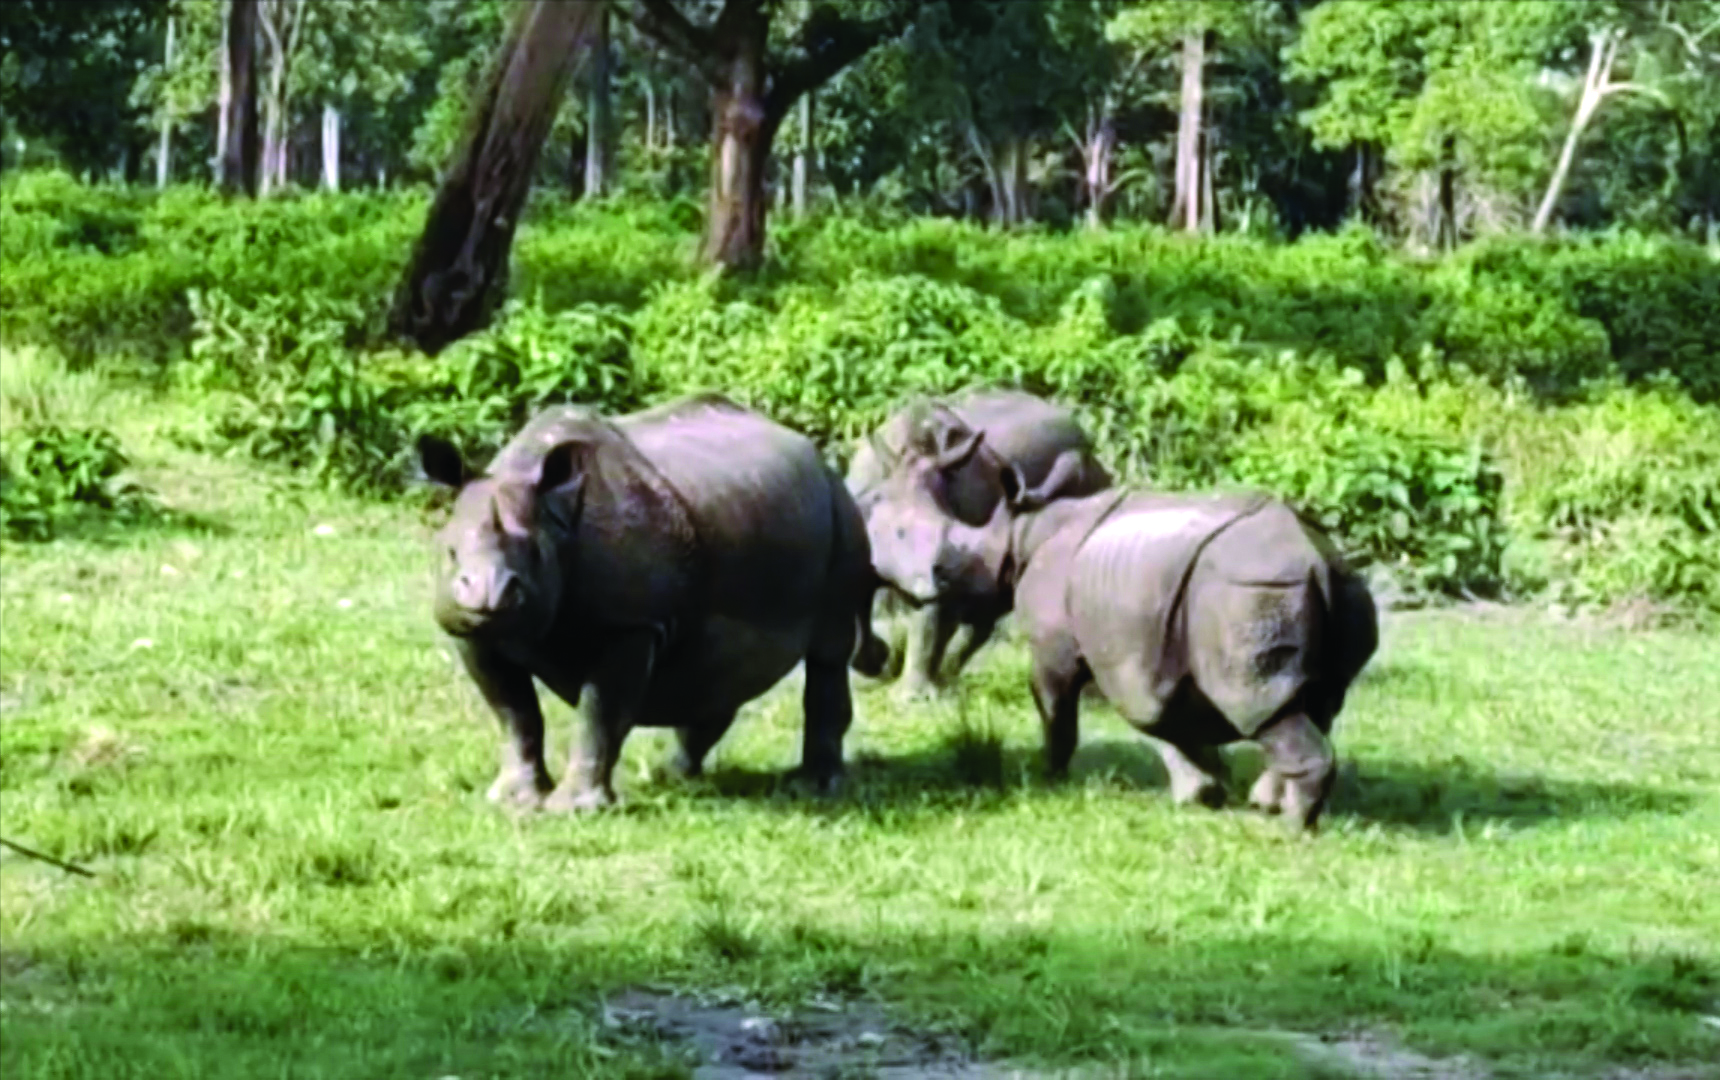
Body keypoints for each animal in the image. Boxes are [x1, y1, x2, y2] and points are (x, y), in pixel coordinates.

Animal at [417, 395, 888, 812]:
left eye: (535, 553)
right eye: (449, 552)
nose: (487, 595)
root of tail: (815, 456)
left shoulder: (630, 624)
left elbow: (598, 713)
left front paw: (574, 809)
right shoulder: (471, 634)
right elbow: (515, 715)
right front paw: (514, 800)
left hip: (842, 509)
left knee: (827, 651)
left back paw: (815, 785)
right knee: (714, 666)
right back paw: (674, 776)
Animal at [846, 389, 1111, 696]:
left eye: (949, 529)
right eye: (899, 533)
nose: (939, 579)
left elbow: (929, 619)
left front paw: (913, 697)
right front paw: (873, 667)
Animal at [879, 455, 1377, 831]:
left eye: (962, 557)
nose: (935, 582)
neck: (1025, 531)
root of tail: (1317, 560)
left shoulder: (1057, 647)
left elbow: (1057, 706)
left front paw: (1049, 777)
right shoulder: (1154, 649)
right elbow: (1170, 718)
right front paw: (1203, 793)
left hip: (1251, 590)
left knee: (1257, 703)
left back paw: (1290, 827)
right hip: (1327, 592)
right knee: (1310, 704)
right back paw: (1269, 806)